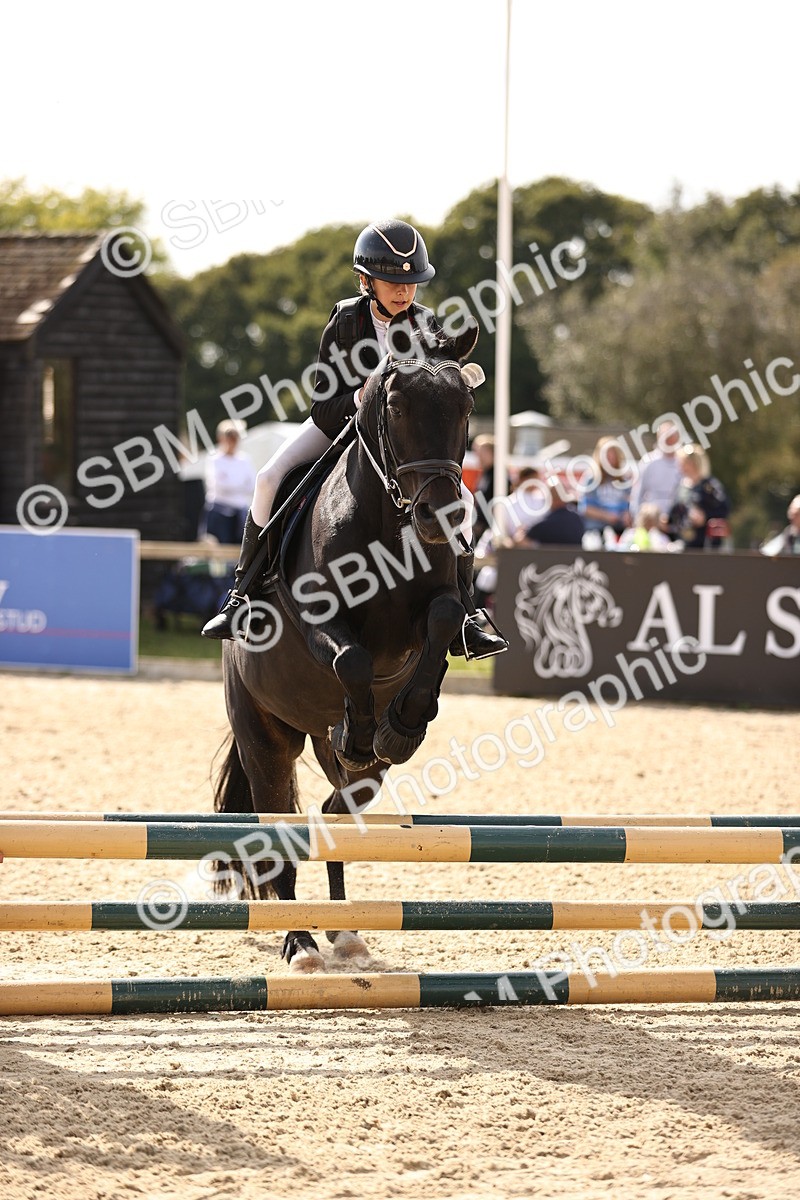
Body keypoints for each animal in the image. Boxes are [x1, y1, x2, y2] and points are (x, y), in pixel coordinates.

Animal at [212, 316, 480, 972]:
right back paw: (300, 943)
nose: (438, 516)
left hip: (333, 755)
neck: (388, 520)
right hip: (265, 734)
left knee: (335, 812)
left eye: (465, 406)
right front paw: (370, 730)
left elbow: (443, 621)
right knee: (281, 821)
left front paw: (403, 724)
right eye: (396, 405)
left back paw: (344, 929)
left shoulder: (438, 605)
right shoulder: (320, 619)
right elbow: (354, 656)